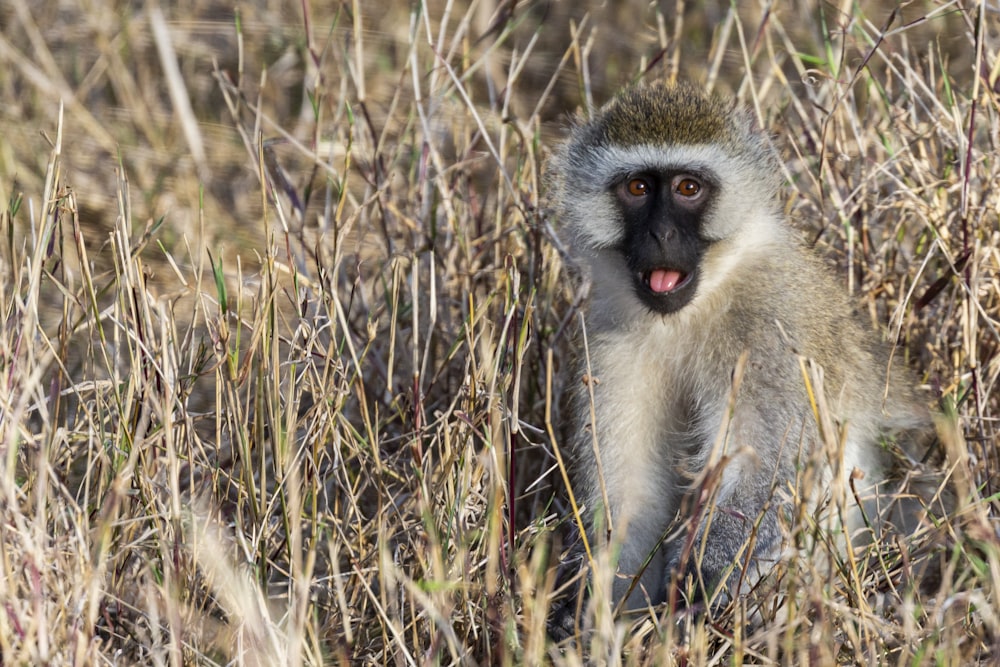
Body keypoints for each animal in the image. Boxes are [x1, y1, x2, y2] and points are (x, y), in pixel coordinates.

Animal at [552, 82, 932, 616]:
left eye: (689, 188)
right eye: (639, 188)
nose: (662, 234)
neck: (696, 307)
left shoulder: (774, 330)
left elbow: (766, 471)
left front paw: (699, 577)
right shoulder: (610, 343)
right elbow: (631, 495)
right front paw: (589, 608)